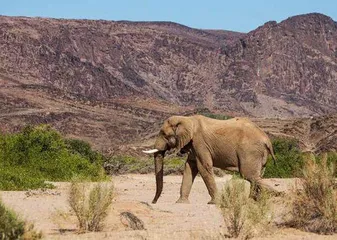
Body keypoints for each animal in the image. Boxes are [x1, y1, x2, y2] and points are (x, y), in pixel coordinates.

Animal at [142, 115, 276, 203]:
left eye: (164, 134)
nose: (153, 202)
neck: (187, 119)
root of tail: (267, 140)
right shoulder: (193, 146)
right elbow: (190, 167)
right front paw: (181, 202)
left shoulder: (200, 143)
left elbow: (203, 167)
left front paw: (214, 202)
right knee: (256, 177)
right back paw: (253, 201)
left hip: (250, 151)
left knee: (249, 175)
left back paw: (273, 195)